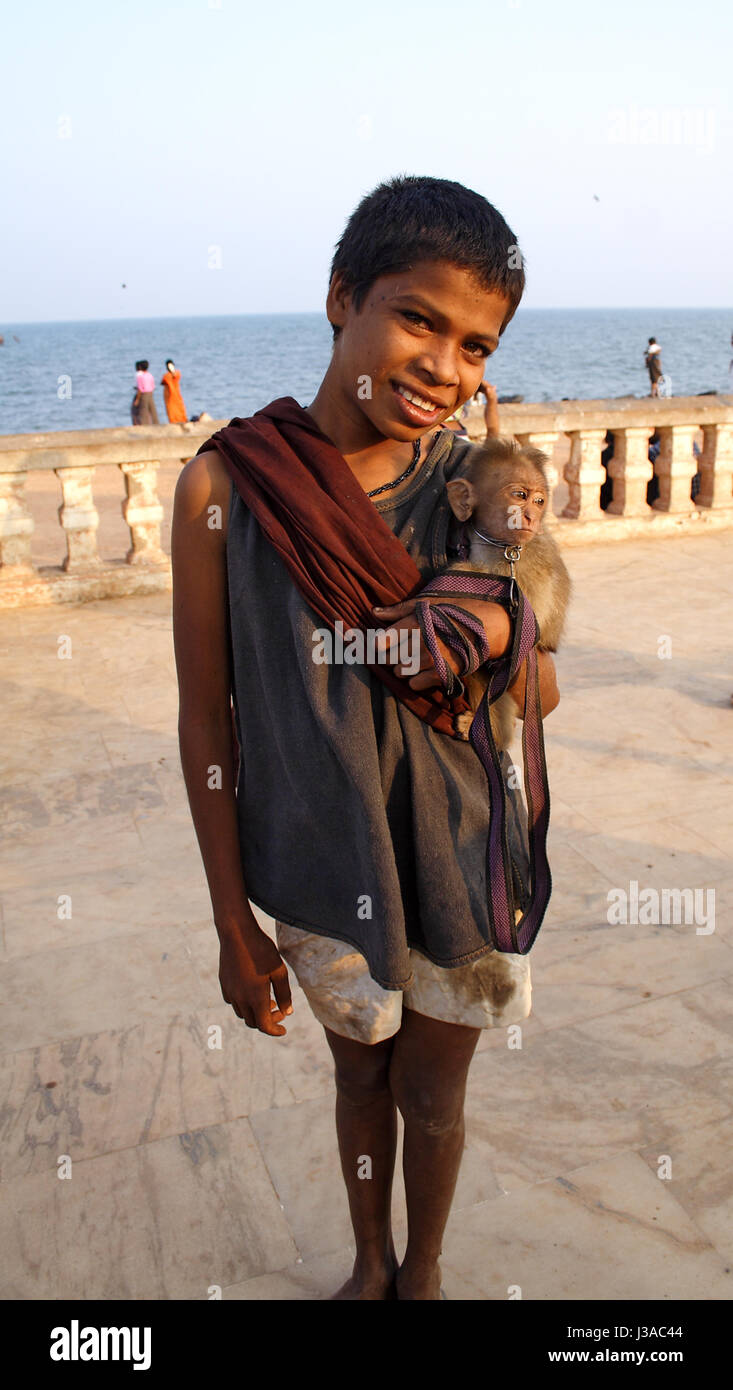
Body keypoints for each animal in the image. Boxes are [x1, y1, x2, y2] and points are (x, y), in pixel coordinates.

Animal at [442, 433, 573, 756]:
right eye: (519, 495)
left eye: (539, 501)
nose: (530, 516)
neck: (497, 546)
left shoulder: (529, 559)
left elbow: (530, 616)